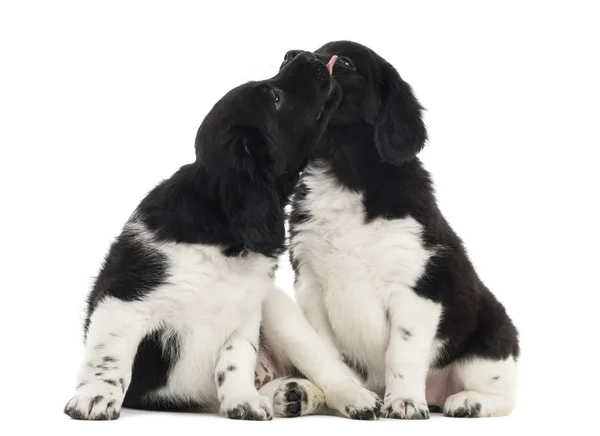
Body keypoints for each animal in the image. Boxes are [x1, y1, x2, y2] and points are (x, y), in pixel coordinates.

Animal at [63, 52, 380, 422]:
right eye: (275, 98)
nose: (301, 54)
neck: (220, 230)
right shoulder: (124, 297)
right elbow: (110, 354)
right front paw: (96, 396)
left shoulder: (245, 312)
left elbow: (236, 357)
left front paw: (242, 399)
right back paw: (291, 394)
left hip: (283, 315)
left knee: (329, 369)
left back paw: (349, 397)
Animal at [286, 41, 520, 418]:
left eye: (345, 62)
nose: (290, 55)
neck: (344, 176)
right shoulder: (310, 285)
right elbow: (325, 355)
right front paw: (346, 396)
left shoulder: (416, 287)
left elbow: (403, 352)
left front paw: (405, 401)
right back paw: (304, 394)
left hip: (488, 341)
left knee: (504, 394)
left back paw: (468, 401)